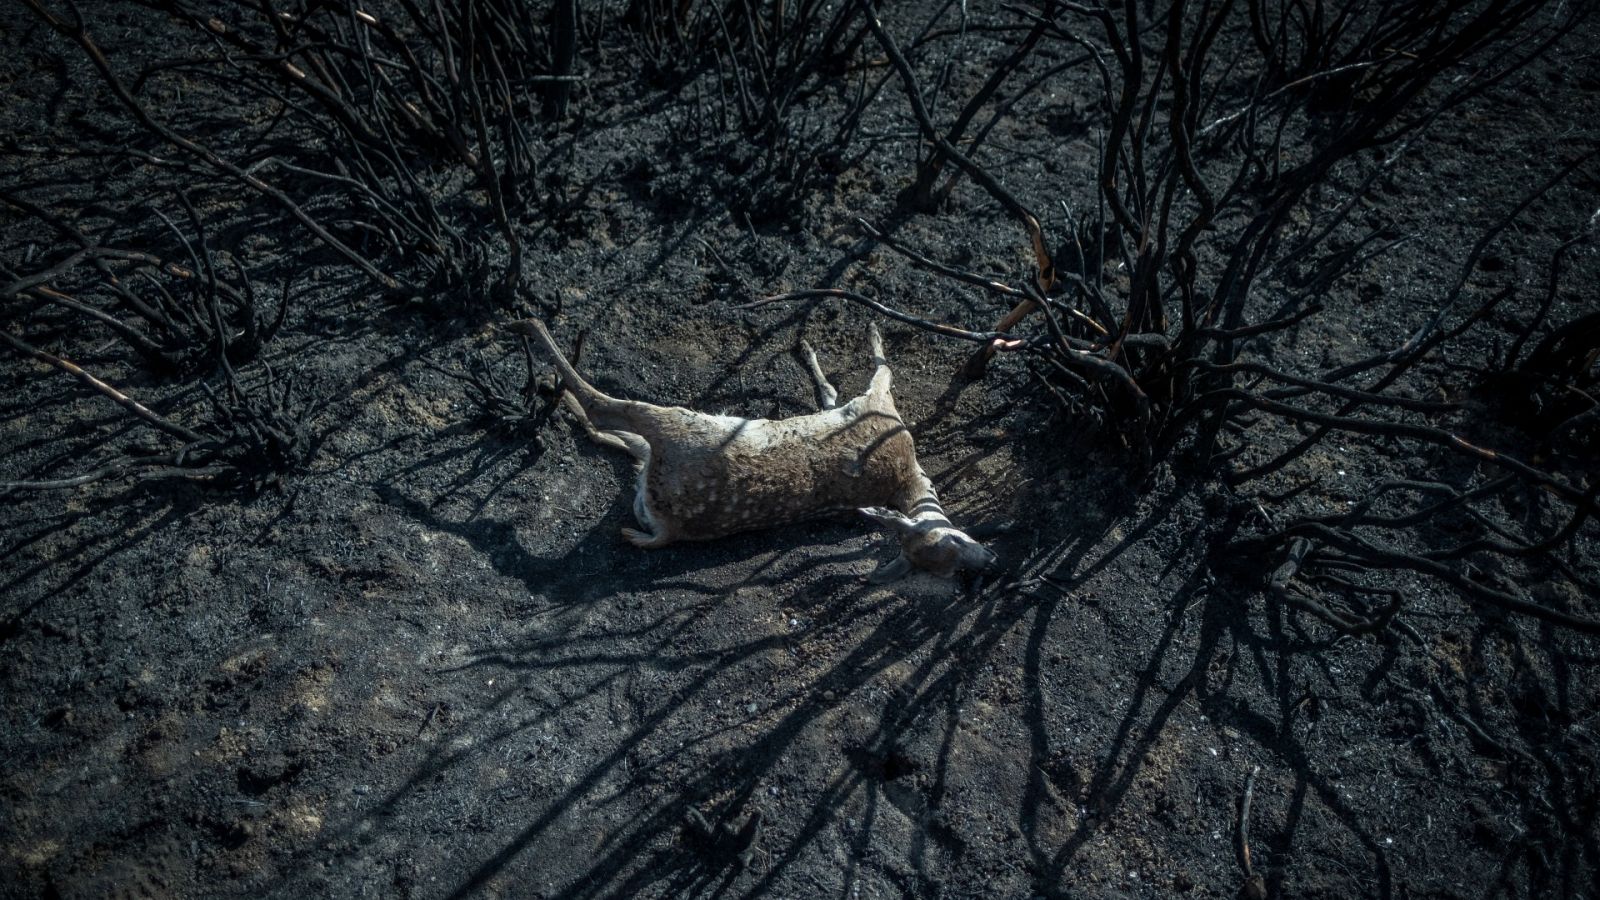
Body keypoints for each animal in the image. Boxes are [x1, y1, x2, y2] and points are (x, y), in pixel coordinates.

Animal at [505, 318, 992, 576]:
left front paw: (866, 329)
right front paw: (811, 348)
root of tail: (666, 529)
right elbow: (836, 388)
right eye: (953, 547)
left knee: (607, 409)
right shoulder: (869, 407)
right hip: (666, 446)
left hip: (679, 428)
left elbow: (881, 365)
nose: (989, 559)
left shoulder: (879, 405)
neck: (910, 475)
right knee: (615, 433)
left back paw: (533, 338)